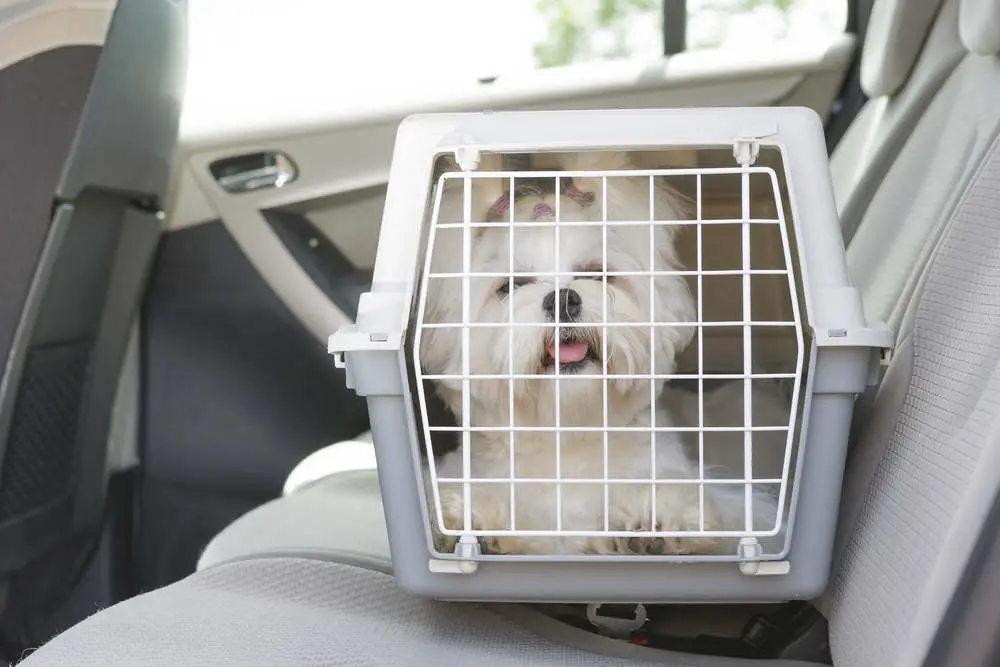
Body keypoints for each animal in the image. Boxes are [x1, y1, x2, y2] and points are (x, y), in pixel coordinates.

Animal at [418, 151, 776, 560]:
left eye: (597, 274)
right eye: (510, 286)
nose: (563, 299)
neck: (569, 435)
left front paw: (654, 518)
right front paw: (474, 521)